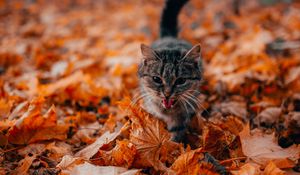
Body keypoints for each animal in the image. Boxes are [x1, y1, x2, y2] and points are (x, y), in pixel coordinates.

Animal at [138, 0, 203, 142]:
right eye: (156, 79)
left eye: (181, 80)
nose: (167, 93)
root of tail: (170, 36)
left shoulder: (183, 114)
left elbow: (176, 133)